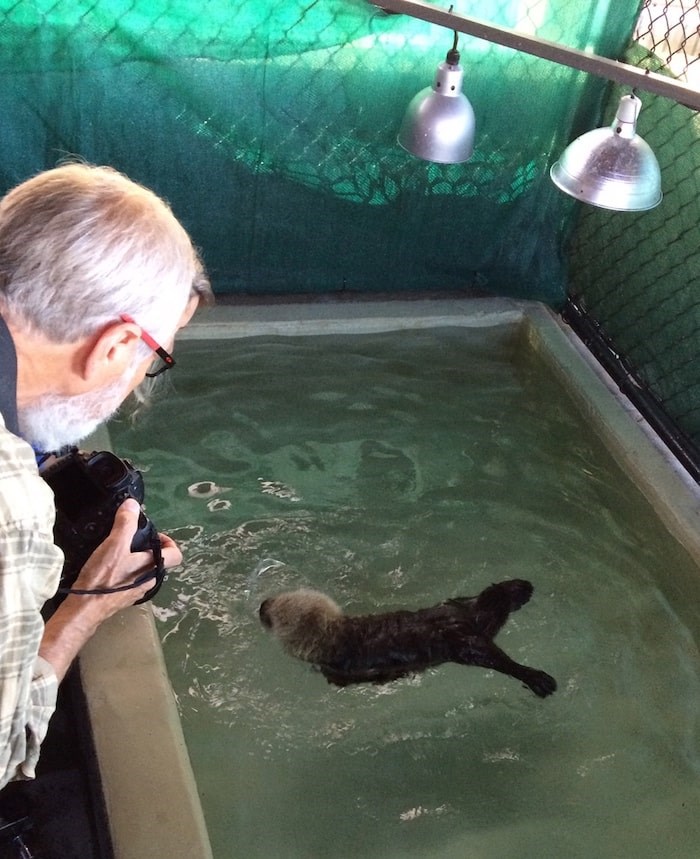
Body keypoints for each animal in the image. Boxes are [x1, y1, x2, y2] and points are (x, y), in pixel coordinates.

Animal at [258, 576, 556, 700]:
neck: (335, 633)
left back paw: (540, 680)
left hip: (467, 647)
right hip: (457, 607)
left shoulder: (335, 668)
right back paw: (518, 587)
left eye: (273, 615)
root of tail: (463, 620)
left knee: (500, 660)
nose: (262, 605)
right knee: (490, 600)